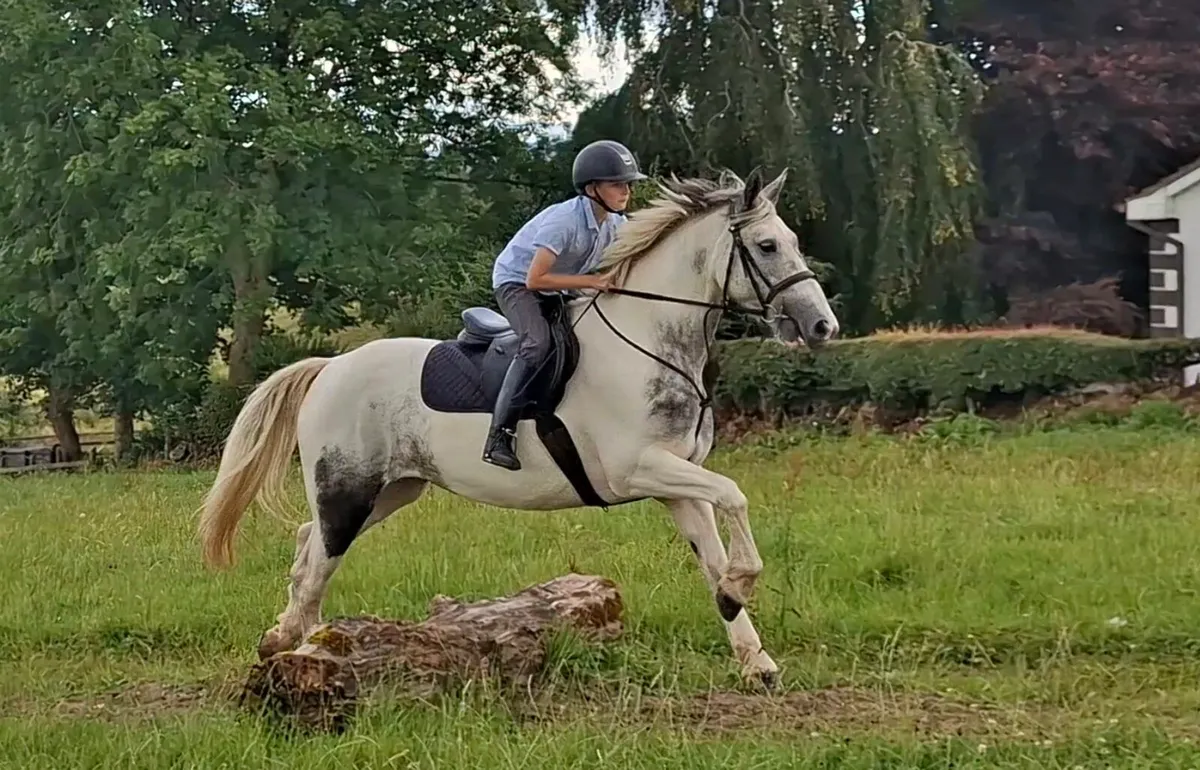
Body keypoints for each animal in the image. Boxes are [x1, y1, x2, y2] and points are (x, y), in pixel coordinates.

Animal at [197, 167, 840, 687]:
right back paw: (296, 648)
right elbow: (735, 496)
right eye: (766, 245)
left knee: (310, 542)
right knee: (320, 555)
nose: (823, 327)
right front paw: (742, 586)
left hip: (392, 490)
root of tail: (330, 366)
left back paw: (291, 637)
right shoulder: (638, 470)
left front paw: (754, 655)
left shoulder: (675, 481)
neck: (650, 340)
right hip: (350, 489)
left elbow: (713, 555)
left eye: (793, 242)